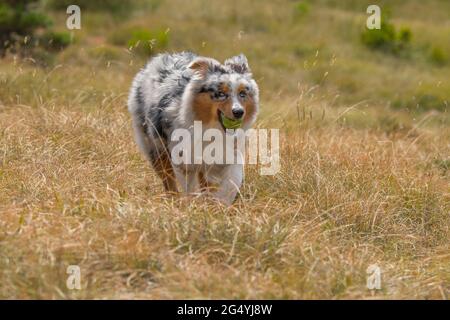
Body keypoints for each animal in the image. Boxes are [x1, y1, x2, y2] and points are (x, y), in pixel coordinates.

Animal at [128, 51, 258, 204]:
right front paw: (192, 203)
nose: (238, 112)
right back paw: (173, 198)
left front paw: (219, 203)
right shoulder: (183, 156)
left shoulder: (231, 153)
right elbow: (189, 184)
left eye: (242, 94)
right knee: (168, 178)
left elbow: (231, 181)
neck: (213, 130)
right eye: (221, 93)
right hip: (154, 145)